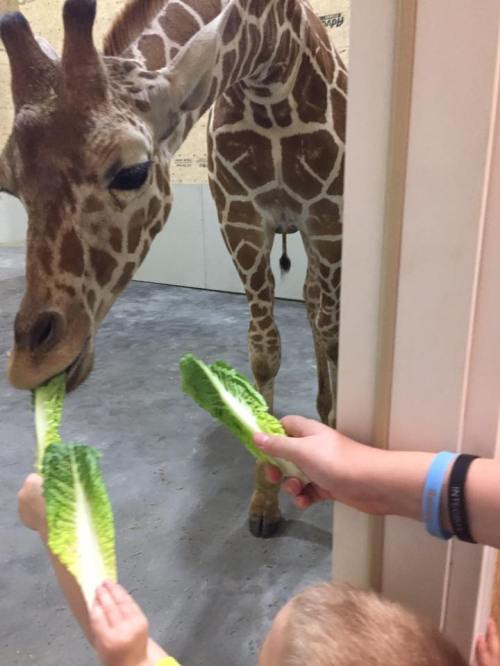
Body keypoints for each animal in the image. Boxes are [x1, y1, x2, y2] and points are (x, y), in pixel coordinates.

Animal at [0, 0, 346, 538]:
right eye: (8, 182)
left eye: (132, 171)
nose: (31, 363)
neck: (270, 70)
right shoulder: (240, 220)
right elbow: (264, 352)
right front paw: (265, 501)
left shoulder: (326, 216)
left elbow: (330, 334)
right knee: (311, 303)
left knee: (323, 315)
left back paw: (329, 416)